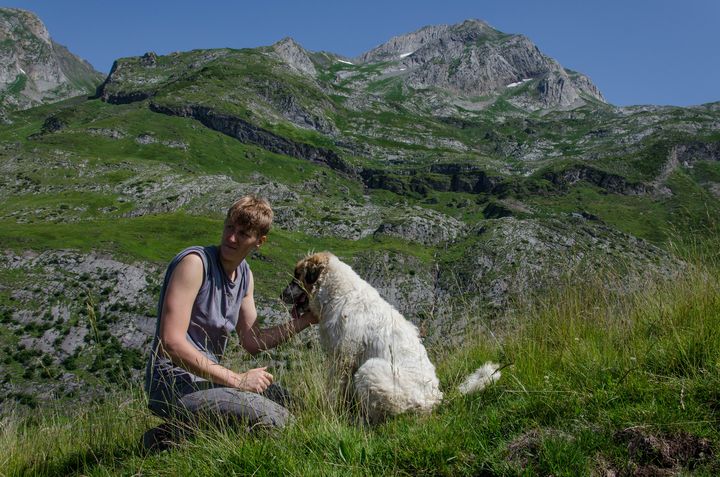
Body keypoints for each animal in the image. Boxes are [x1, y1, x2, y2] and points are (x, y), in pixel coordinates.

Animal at [282, 251, 500, 422]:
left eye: (296, 275)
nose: (281, 294)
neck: (339, 292)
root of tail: (435, 399)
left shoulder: (342, 357)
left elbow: (333, 389)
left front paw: (329, 409)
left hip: (370, 370)